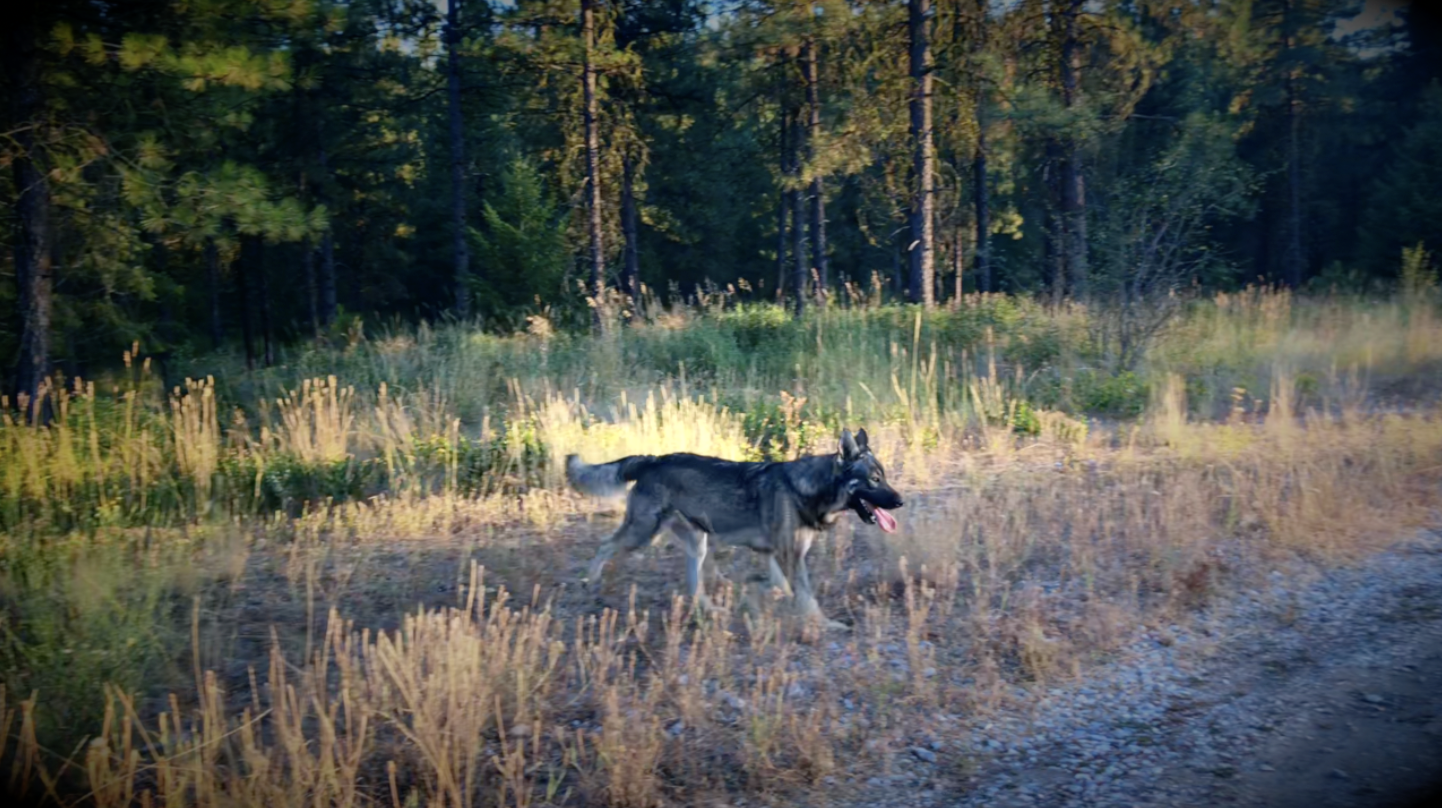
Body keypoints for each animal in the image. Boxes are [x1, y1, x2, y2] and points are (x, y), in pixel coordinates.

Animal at [562, 427, 899, 629]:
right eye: (874, 480)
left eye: (884, 477)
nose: (900, 501)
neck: (808, 489)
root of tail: (652, 459)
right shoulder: (789, 556)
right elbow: (805, 597)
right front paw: (824, 624)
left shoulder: (773, 554)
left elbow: (782, 588)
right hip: (643, 533)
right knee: (606, 545)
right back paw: (591, 582)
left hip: (695, 545)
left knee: (693, 588)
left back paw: (712, 610)